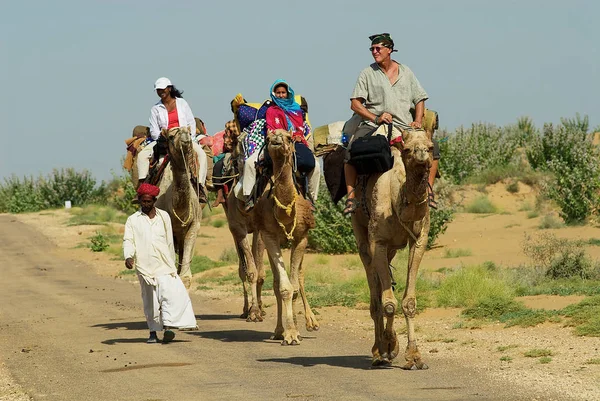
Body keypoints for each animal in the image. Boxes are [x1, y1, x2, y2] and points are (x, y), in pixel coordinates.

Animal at [225, 130, 318, 342]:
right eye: (267, 139)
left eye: (290, 138)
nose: (276, 136)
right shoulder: (265, 234)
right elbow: (281, 286)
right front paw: (288, 332)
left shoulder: (301, 238)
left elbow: (294, 284)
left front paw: (296, 329)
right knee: (270, 279)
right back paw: (276, 329)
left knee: (297, 276)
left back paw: (310, 322)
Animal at [350, 127, 434, 366]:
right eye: (407, 149)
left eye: (431, 147)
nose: (422, 154)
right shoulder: (377, 241)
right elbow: (388, 304)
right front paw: (387, 347)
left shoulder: (419, 240)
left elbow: (409, 302)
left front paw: (414, 356)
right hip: (361, 234)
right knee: (375, 294)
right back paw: (378, 352)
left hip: (392, 248)